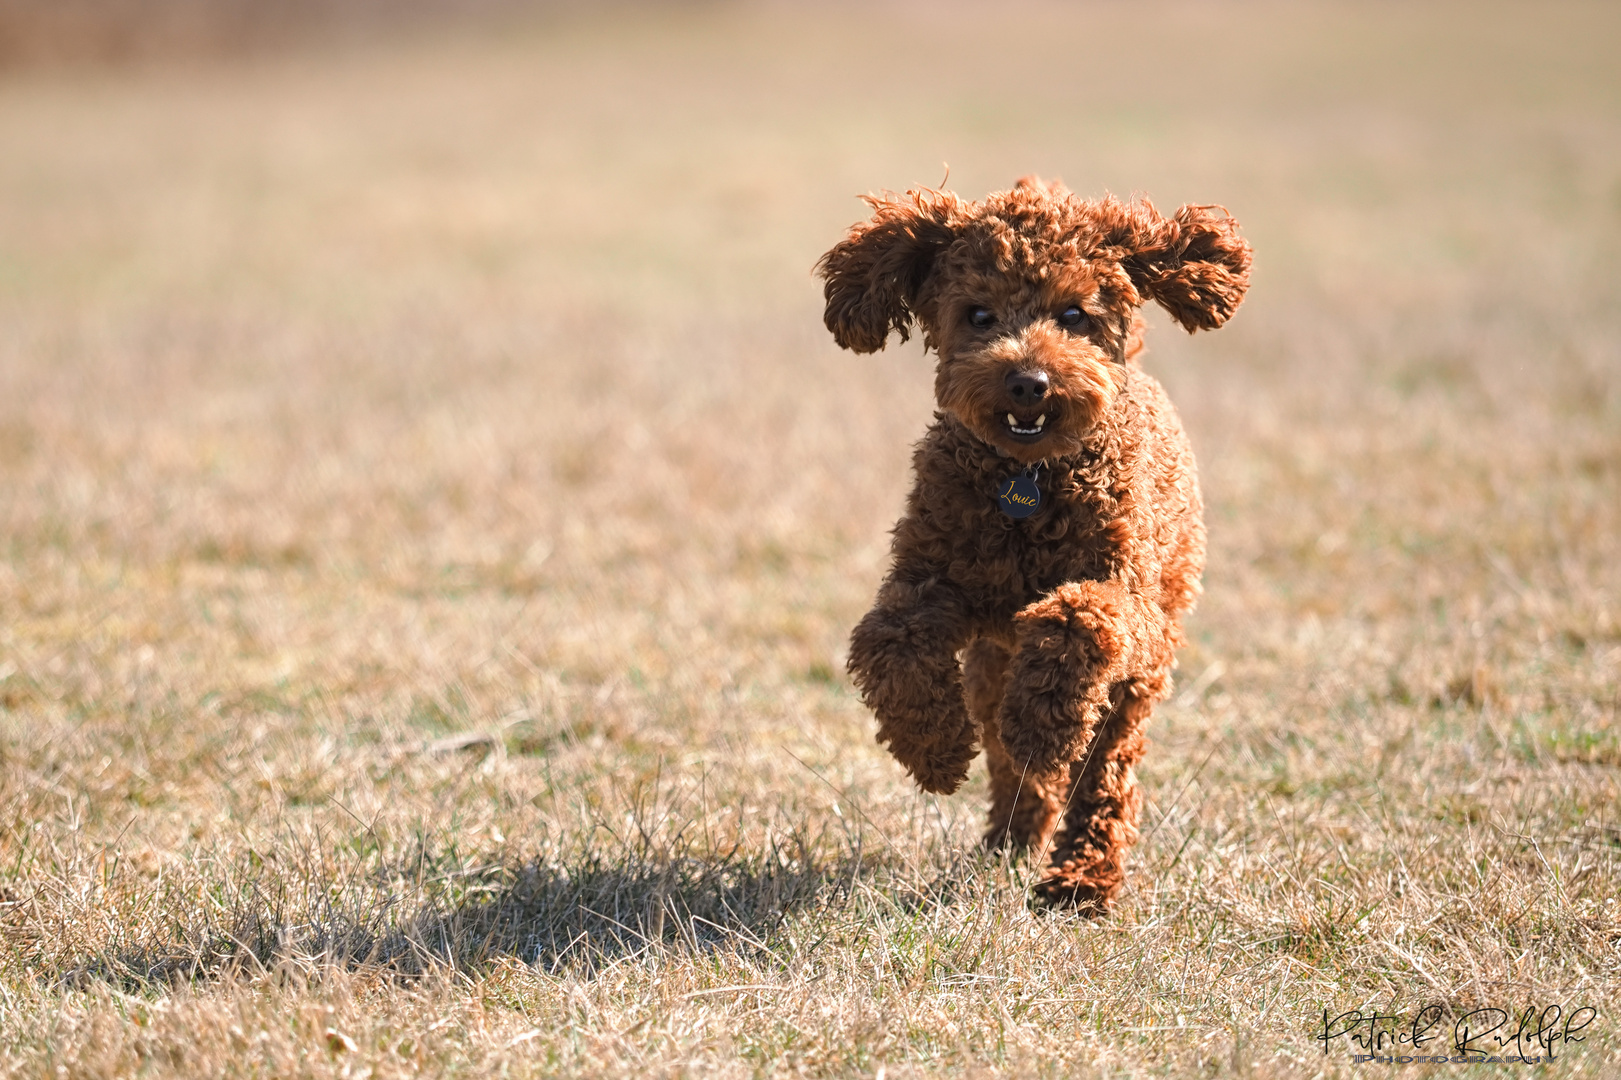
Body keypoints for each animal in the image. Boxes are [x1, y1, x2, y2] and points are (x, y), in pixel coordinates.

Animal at [816, 174, 1244, 908]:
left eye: (1074, 314)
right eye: (978, 315)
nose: (1028, 382)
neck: (1027, 479)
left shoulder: (1124, 595)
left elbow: (1077, 621)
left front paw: (1041, 729)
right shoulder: (932, 578)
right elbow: (888, 639)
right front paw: (933, 749)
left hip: (1146, 661)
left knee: (1105, 769)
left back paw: (1081, 879)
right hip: (991, 666)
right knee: (1009, 756)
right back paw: (1010, 838)